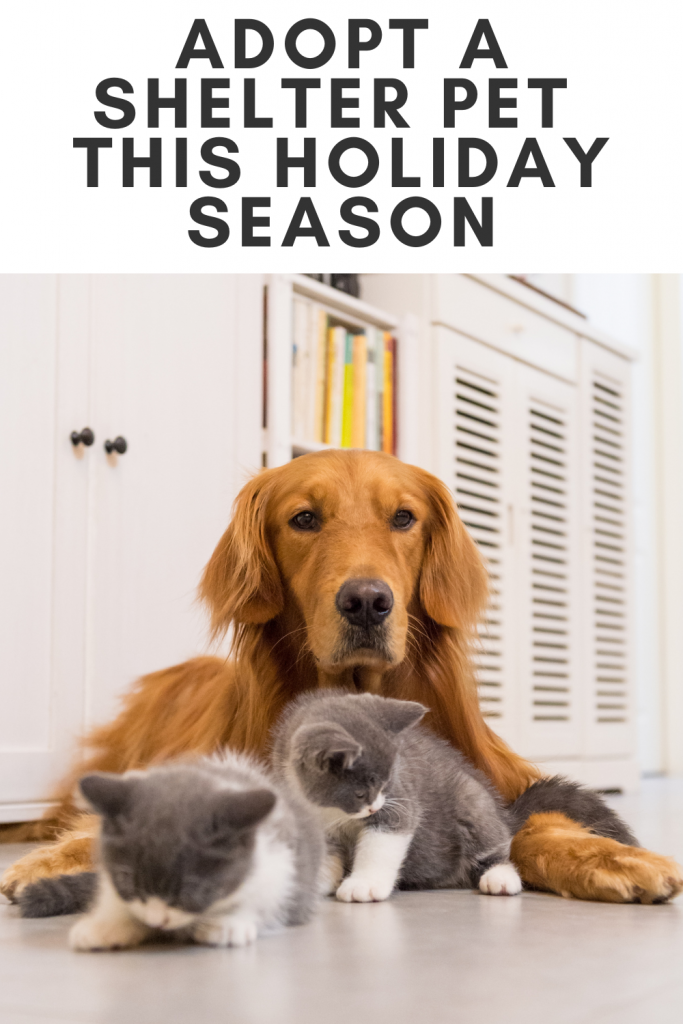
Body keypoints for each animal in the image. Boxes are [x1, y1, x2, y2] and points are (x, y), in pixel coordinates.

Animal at [68, 749, 325, 946]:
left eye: (192, 890)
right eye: (126, 881)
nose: (157, 920)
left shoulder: (279, 861)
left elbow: (266, 896)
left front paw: (229, 922)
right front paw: (106, 924)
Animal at [270, 688, 520, 905]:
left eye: (387, 781)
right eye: (360, 793)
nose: (374, 808)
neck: (332, 810)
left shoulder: (400, 802)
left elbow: (382, 842)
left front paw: (364, 884)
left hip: (472, 799)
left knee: (493, 842)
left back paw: (499, 877)